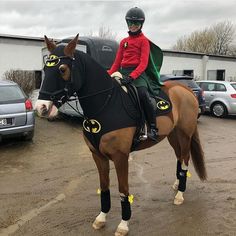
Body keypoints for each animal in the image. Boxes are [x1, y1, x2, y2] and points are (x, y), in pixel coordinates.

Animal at [35, 35, 206, 236]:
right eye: (45, 69)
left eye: (62, 69)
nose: (41, 107)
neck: (106, 104)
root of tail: (186, 89)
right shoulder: (98, 156)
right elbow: (104, 187)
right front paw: (101, 218)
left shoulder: (120, 157)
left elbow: (123, 190)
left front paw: (123, 224)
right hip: (173, 135)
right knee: (179, 157)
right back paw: (177, 184)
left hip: (185, 135)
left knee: (185, 159)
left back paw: (180, 194)